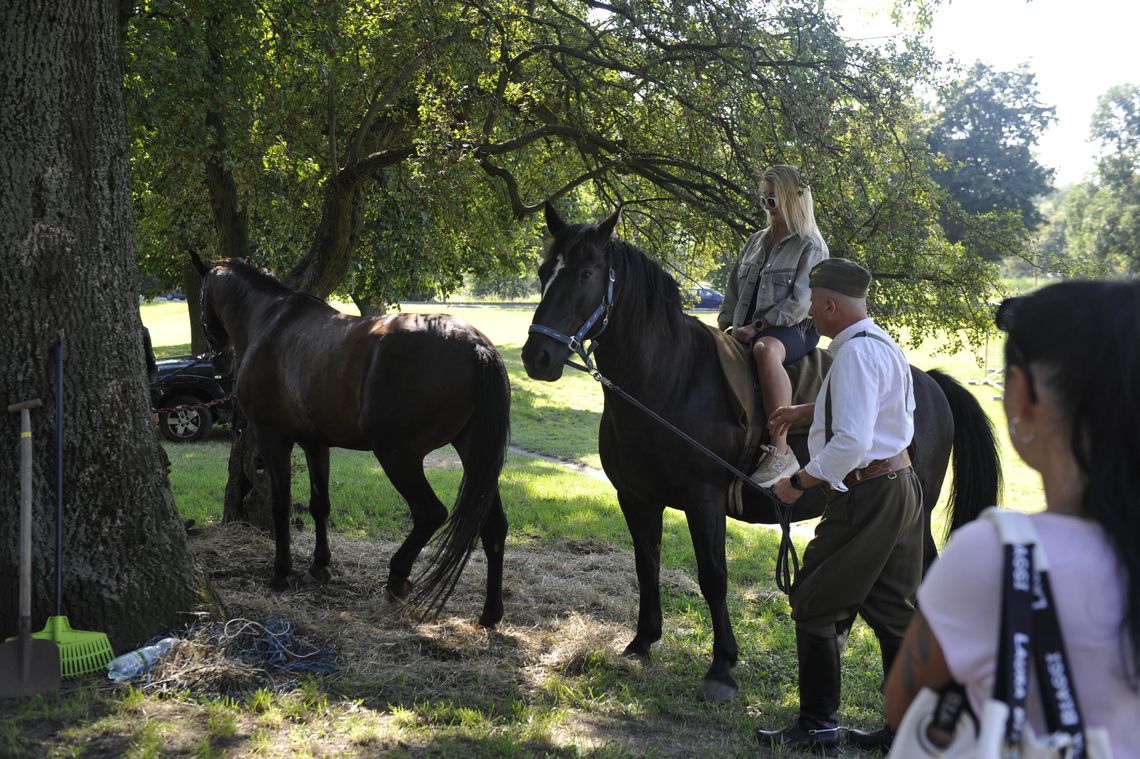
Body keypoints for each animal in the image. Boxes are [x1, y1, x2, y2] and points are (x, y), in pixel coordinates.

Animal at [192, 250, 513, 624]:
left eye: (201, 297)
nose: (215, 359)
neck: (270, 321)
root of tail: (475, 346)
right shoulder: (316, 445)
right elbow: (320, 505)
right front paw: (319, 565)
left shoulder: (274, 440)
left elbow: (280, 504)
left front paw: (281, 572)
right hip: (475, 456)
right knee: (493, 527)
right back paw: (490, 613)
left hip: (398, 455)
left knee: (429, 513)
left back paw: (397, 577)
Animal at [522, 205, 1003, 697]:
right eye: (543, 272)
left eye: (585, 274)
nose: (537, 356)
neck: (671, 380)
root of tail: (927, 381)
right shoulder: (637, 499)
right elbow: (646, 565)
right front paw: (642, 642)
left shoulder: (704, 502)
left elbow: (713, 577)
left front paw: (722, 665)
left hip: (915, 511)